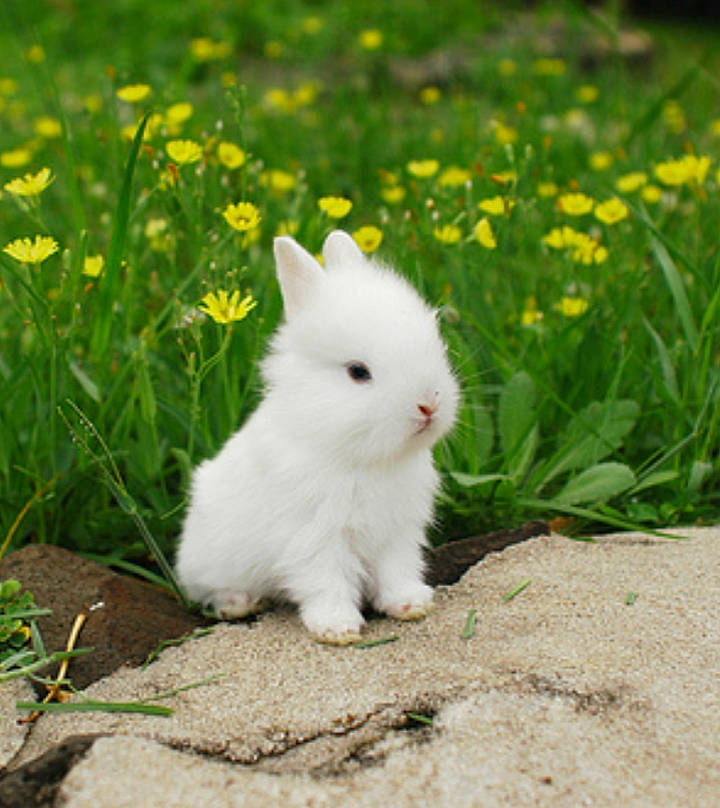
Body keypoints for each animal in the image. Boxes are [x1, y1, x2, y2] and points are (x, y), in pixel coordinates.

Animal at [176, 229, 459, 644]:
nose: (428, 405)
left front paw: (410, 605)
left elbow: (397, 570)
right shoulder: (314, 538)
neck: (359, 456)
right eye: (358, 372)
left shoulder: (397, 532)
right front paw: (337, 629)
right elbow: (327, 583)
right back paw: (240, 604)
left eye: (436, 346)